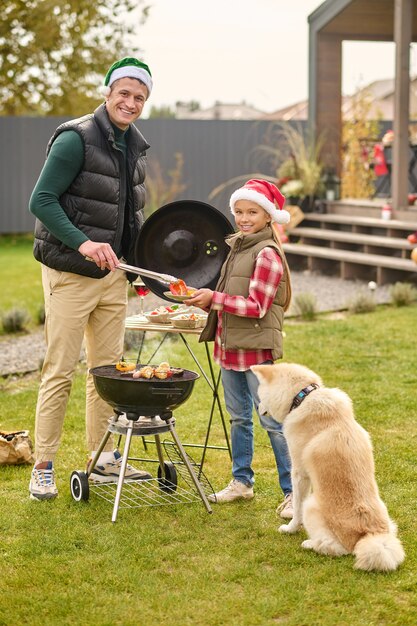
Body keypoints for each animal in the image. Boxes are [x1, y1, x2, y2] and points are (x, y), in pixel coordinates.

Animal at [250, 360, 404, 572]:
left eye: (259, 393)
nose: (257, 410)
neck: (303, 397)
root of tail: (368, 535)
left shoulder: (299, 474)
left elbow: (296, 508)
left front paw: (290, 529)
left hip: (311, 504)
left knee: (336, 549)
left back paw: (309, 543)